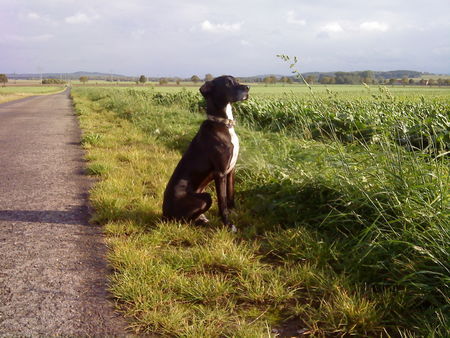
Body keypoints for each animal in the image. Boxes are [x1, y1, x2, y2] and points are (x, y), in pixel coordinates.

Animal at [163, 76, 250, 230]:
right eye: (228, 83)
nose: (248, 88)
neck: (223, 123)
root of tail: (164, 214)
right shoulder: (220, 173)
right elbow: (222, 202)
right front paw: (228, 225)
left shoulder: (231, 169)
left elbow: (231, 194)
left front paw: (234, 212)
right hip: (204, 197)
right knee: (183, 221)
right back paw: (200, 220)